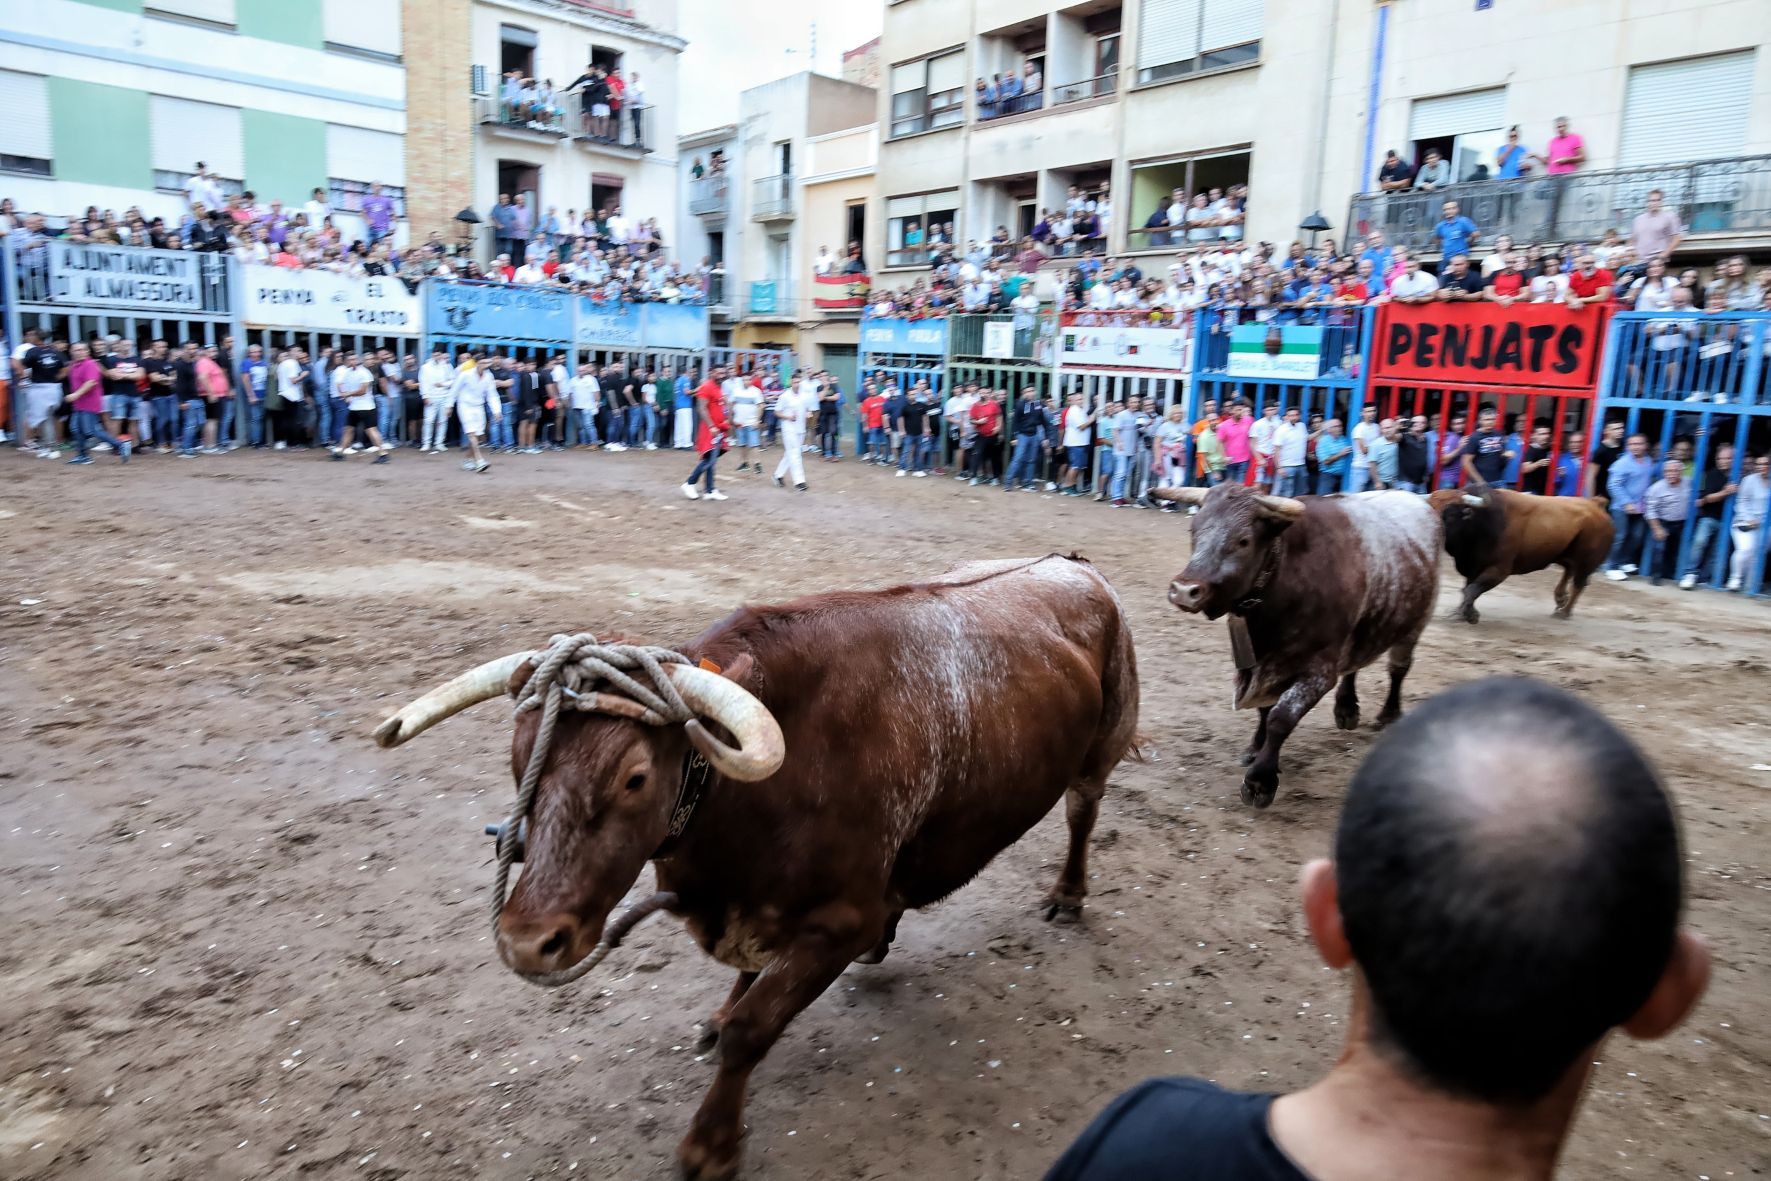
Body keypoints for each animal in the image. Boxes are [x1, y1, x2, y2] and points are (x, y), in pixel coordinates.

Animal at [377, 555, 1147, 1181]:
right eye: (517, 757)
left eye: (634, 777)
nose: (526, 941)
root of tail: (1075, 567)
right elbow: (744, 990)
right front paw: (721, 1013)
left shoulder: (836, 922)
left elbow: (753, 1029)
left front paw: (710, 1145)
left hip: (1101, 745)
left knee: (1082, 815)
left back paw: (1067, 894)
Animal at [1147, 485, 1438, 807]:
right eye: (1194, 529)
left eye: (1243, 540)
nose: (1184, 590)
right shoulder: (1263, 664)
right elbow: (1264, 710)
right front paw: (1255, 748)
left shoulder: (1318, 672)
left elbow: (1280, 718)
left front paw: (1261, 779)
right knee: (1355, 664)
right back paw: (1346, 708)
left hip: (1414, 625)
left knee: (1398, 669)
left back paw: (1388, 714)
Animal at [1423, 485, 1622, 623]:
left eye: (1449, 515)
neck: (1482, 522)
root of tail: (1596, 504)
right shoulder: (1473, 567)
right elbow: (1467, 589)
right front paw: (1464, 613)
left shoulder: (1498, 570)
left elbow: (1471, 590)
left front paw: (1466, 615)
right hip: (1566, 554)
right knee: (1569, 570)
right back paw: (1560, 599)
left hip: (1587, 561)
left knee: (1578, 584)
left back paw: (1564, 612)